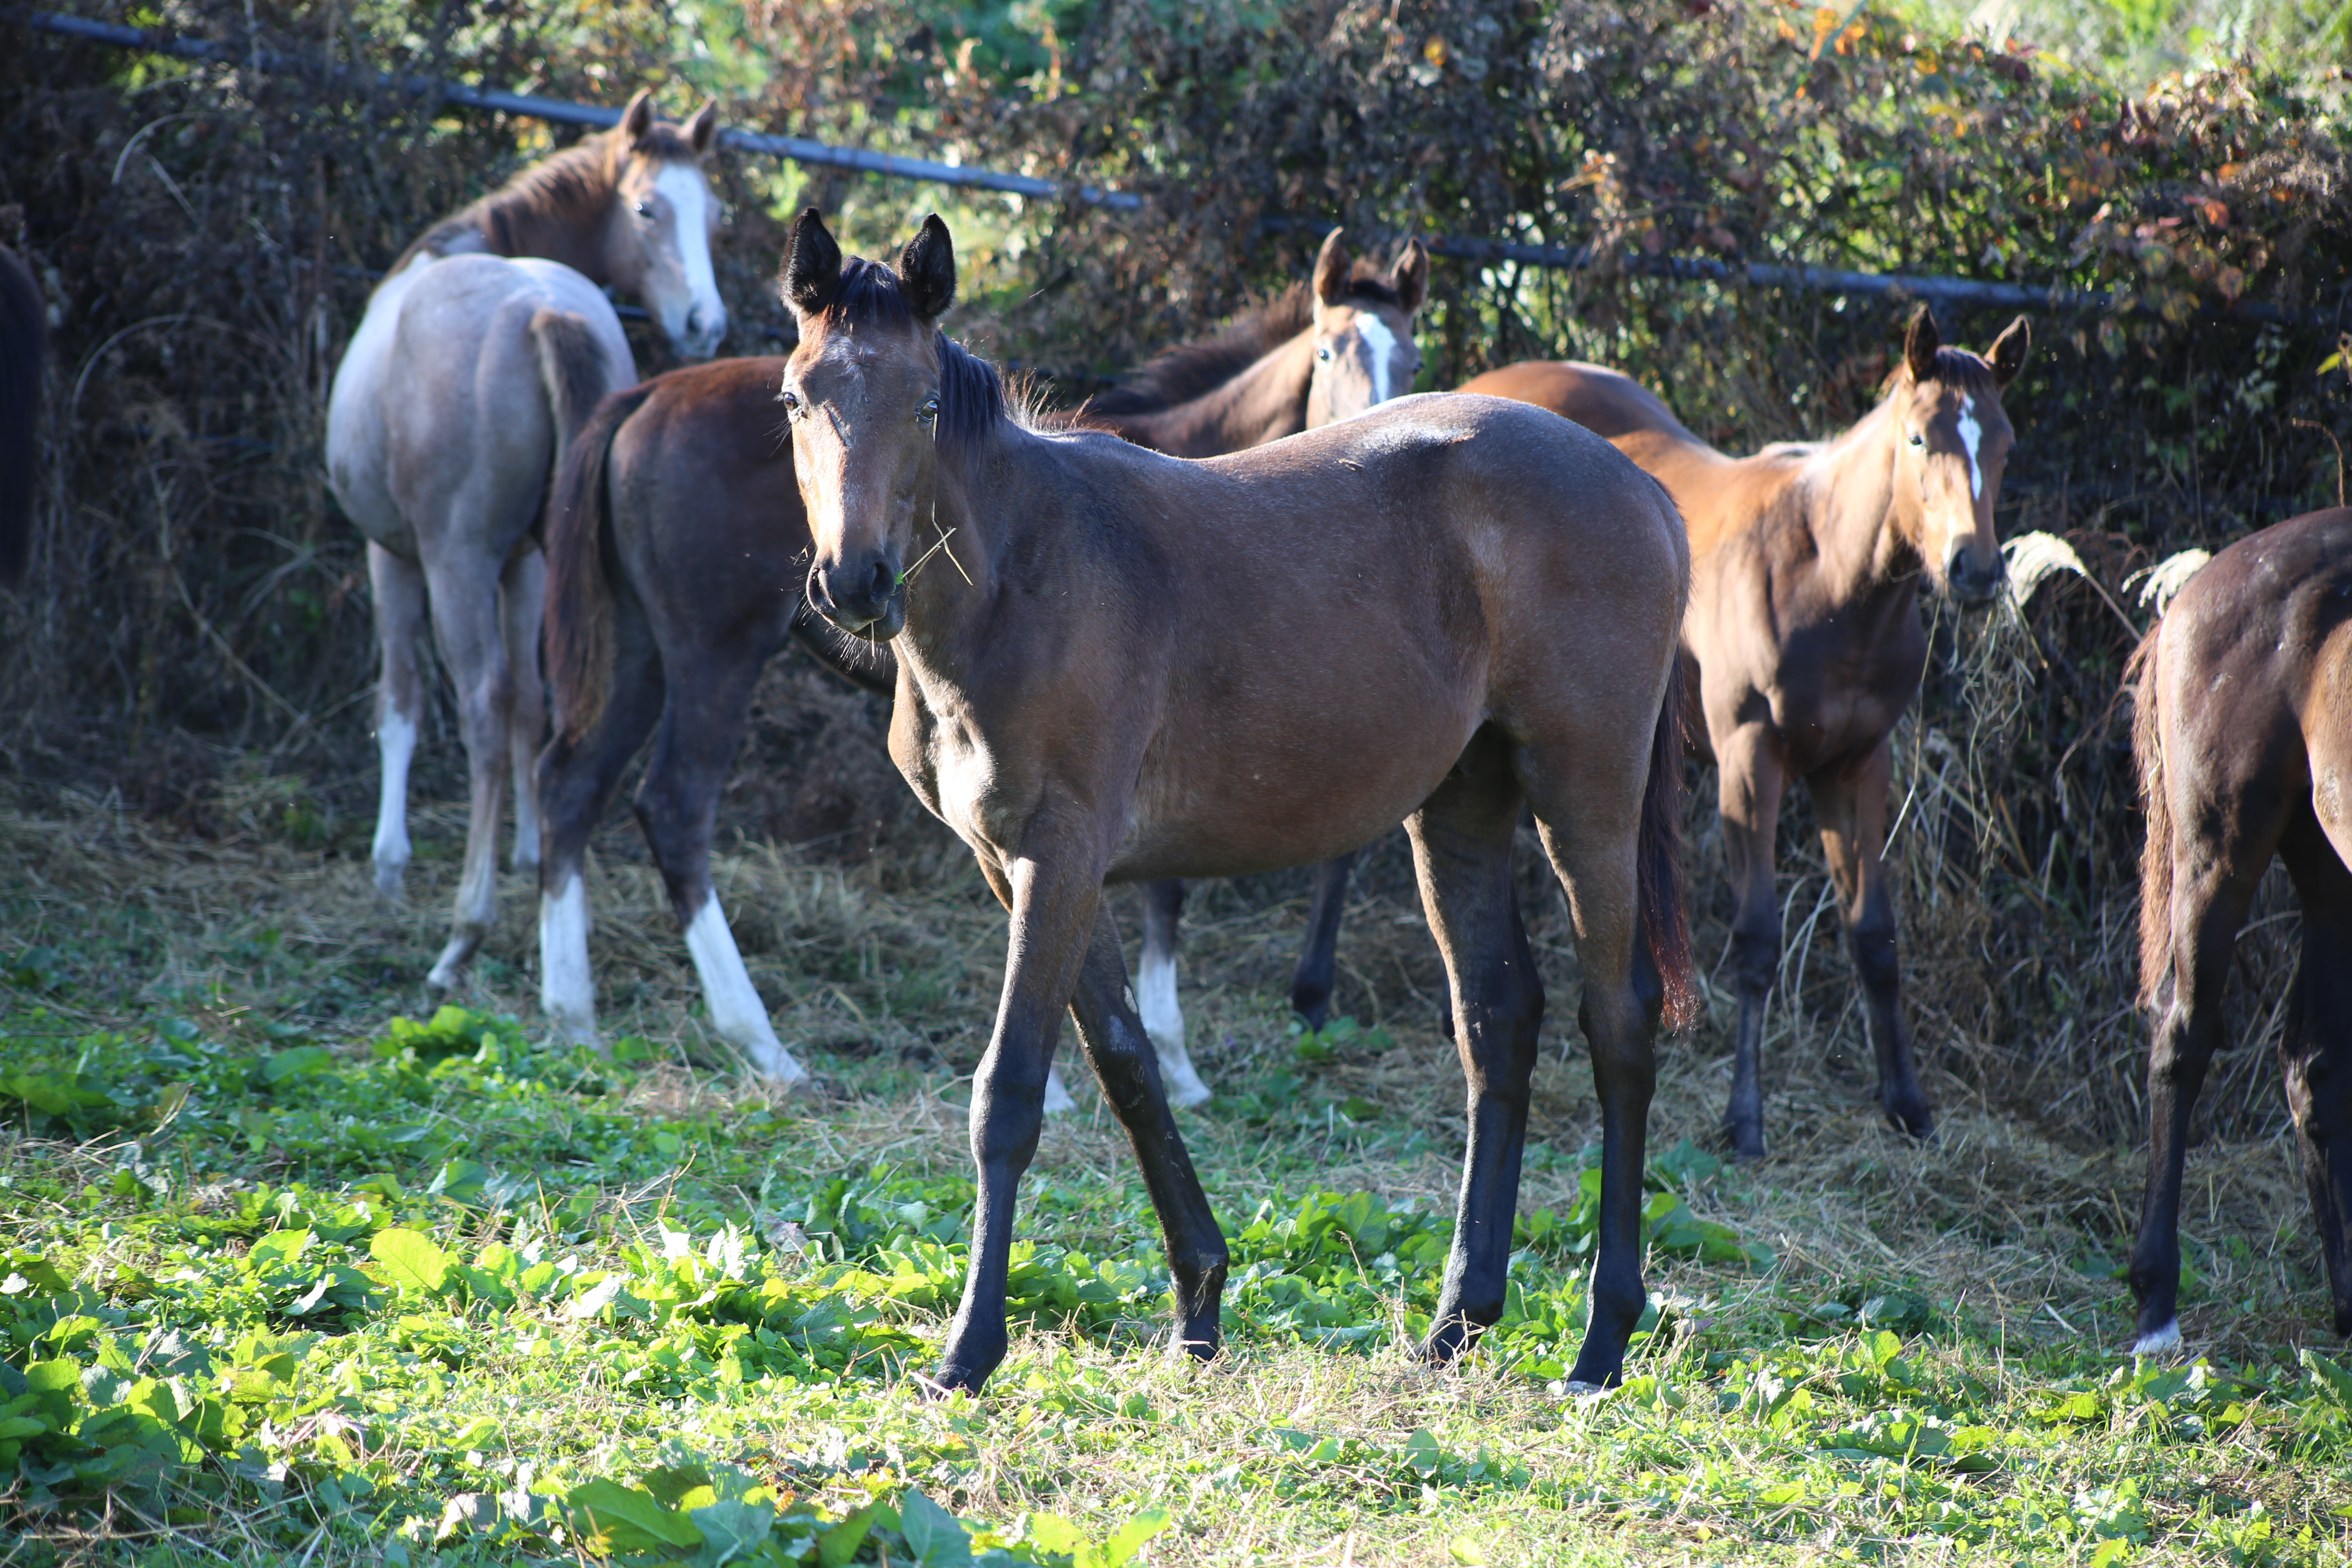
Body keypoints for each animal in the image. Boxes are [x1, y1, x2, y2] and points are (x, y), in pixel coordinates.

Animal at [327, 92, 719, 987]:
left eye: (710, 215)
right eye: (649, 210)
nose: (705, 323)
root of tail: (543, 310)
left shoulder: (393, 558)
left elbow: (401, 704)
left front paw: (390, 863)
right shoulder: (529, 564)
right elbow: (539, 710)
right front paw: (531, 856)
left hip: (454, 565)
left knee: (481, 702)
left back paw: (463, 933)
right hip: (537, 566)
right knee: (547, 704)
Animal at [785, 208, 1693, 1401]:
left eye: (923, 404)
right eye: (797, 398)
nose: (854, 584)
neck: (1021, 576)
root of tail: (1647, 492)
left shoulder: (1058, 857)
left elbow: (1009, 1096)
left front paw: (967, 1352)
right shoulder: (1020, 867)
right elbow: (1128, 1068)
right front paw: (1200, 1303)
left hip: (1584, 791)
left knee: (1618, 1021)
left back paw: (1600, 1341)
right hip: (1461, 803)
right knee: (1497, 1019)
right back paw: (1455, 1321)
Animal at [1458, 310, 2032, 1166]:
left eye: (2003, 446)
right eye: (1920, 438)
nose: (1976, 570)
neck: (1828, 582)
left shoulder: (1857, 765)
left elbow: (1875, 937)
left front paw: (1908, 1105)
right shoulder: (1749, 763)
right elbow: (1758, 943)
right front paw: (1745, 1118)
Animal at [2136, 510, 2352, 1354]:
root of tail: (2192, 594)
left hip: (2328, 871)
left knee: (2313, 1065)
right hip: (2218, 852)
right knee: (2183, 1037)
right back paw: (2155, 1314)